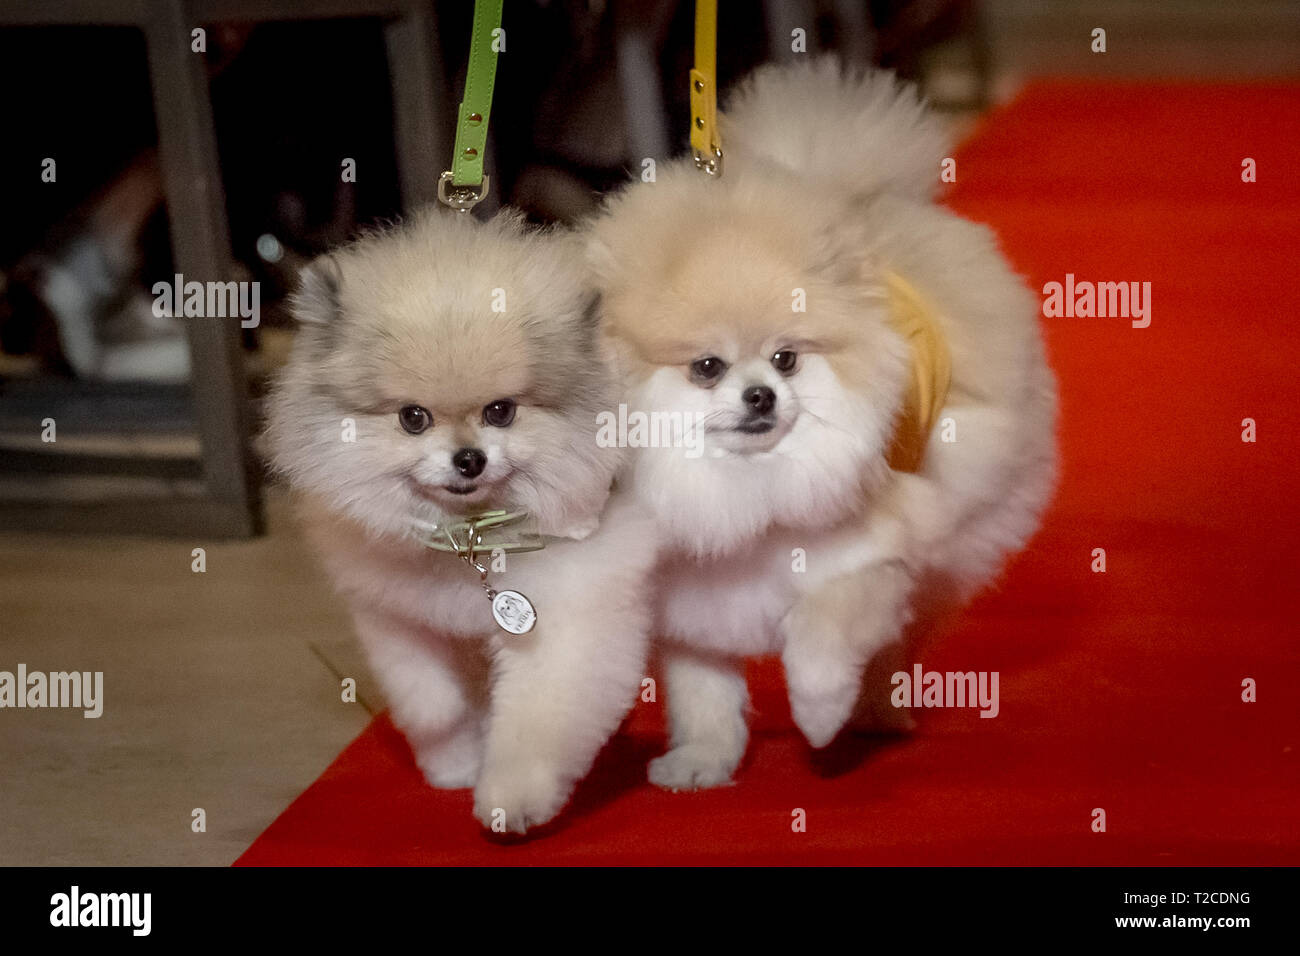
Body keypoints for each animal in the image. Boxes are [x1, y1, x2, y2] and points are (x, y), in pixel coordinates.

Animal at [262, 208, 655, 832]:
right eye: (412, 418)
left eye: (501, 411)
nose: (469, 459)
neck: (469, 537)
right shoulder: (397, 616)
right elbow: (433, 704)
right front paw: (452, 764)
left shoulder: (570, 619)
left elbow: (536, 723)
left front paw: (510, 800)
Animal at [590, 61, 1055, 790]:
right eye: (707, 368)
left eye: (786, 358)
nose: (760, 396)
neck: (747, 489)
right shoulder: (689, 597)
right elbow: (702, 692)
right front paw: (702, 762)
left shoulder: (868, 559)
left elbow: (823, 637)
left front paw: (818, 713)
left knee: (900, 627)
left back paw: (875, 711)